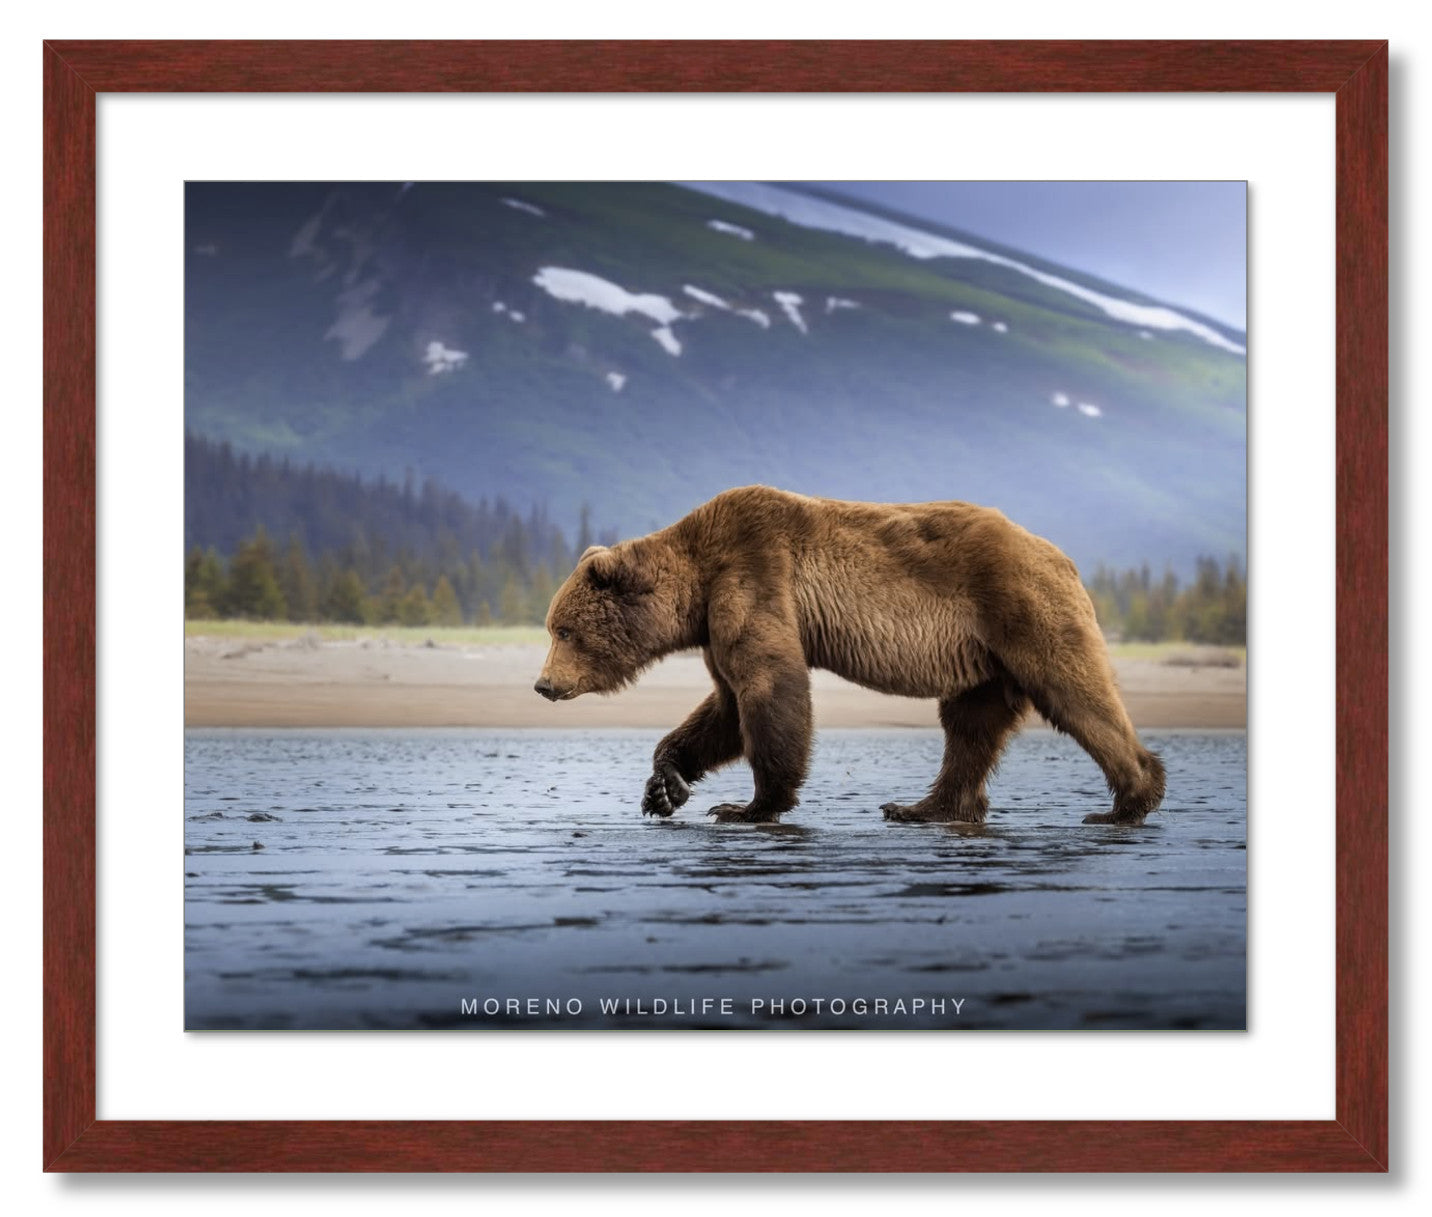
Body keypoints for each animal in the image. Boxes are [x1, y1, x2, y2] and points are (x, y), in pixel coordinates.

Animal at [534, 485, 1165, 826]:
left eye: (563, 630)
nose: (542, 685)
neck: (696, 581)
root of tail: (1061, 555)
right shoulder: (716, 621)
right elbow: (725, 706)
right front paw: (665, 787)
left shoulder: (753, 574)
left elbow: (769, 688)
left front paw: (749, 805)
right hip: (984, 657)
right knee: (970, 727)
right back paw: (922, 807)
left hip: (1021, 610)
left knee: (1074, 693)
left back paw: (1127, 801)